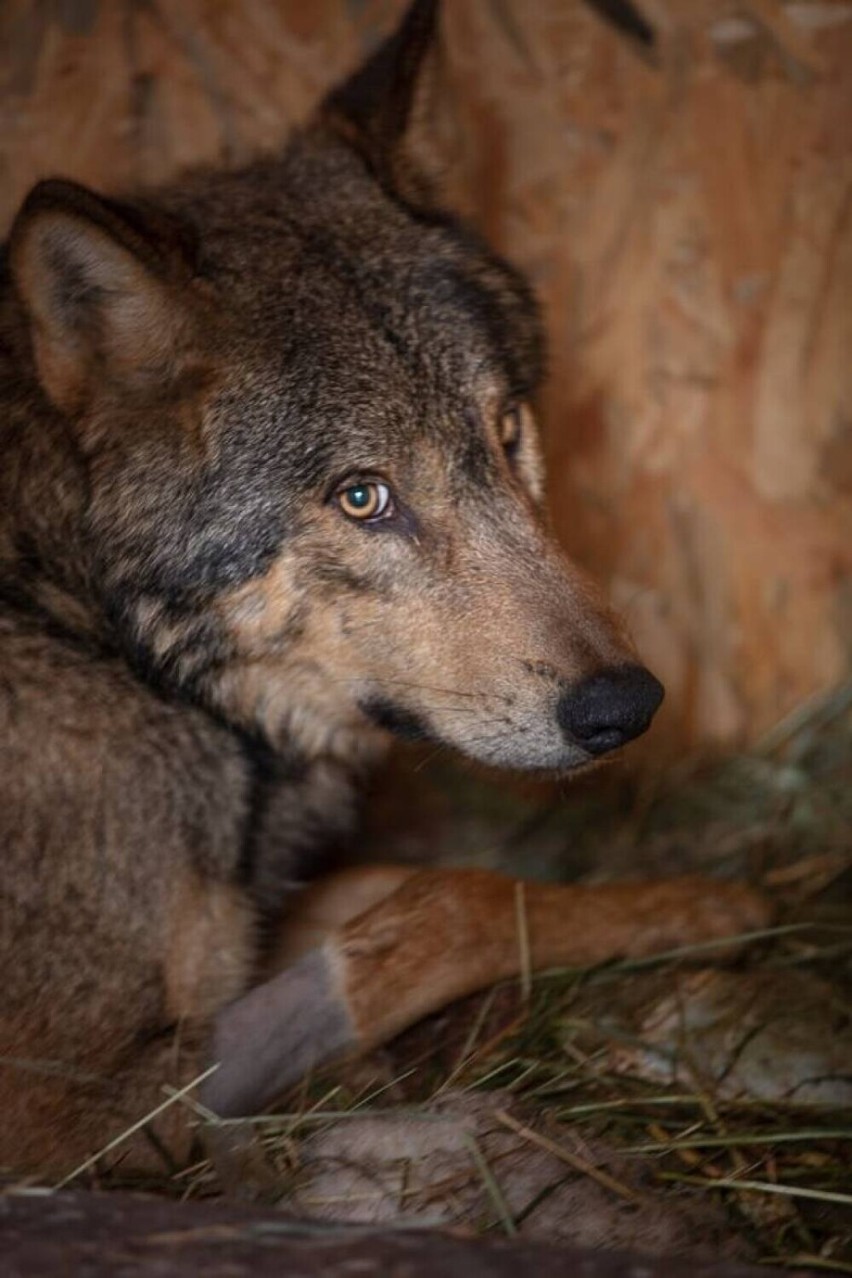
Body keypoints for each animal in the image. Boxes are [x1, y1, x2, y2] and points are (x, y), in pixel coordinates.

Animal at [0, 0, 766, 1175]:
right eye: (364, 498)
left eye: (507, 431)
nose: (626, 706)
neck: (86, 626)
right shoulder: (71, 1119)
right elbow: (457, 901)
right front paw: (713, 907)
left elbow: (396, 889)